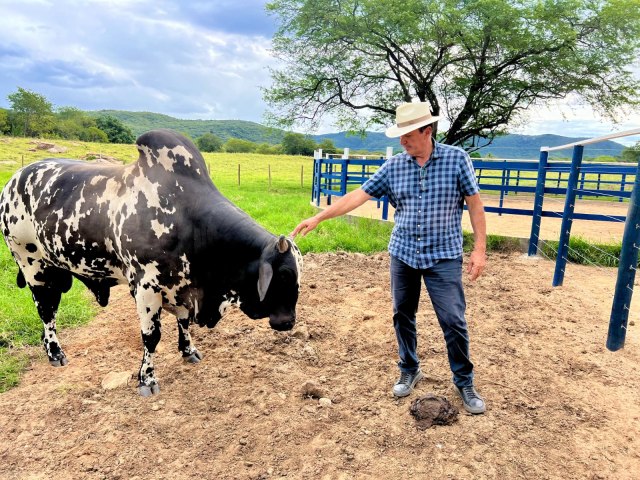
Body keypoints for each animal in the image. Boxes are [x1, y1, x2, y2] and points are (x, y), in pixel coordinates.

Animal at [0, 129, 302, 396]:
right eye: (284, 275)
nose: (288, 322)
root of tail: (13, 180)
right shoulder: (146, 287)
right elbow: (151, 337)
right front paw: (146, 379)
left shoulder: (182, 287)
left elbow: (184, 323)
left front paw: (188, 351)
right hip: (32, 265)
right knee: (47, 312)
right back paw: (55, 352)